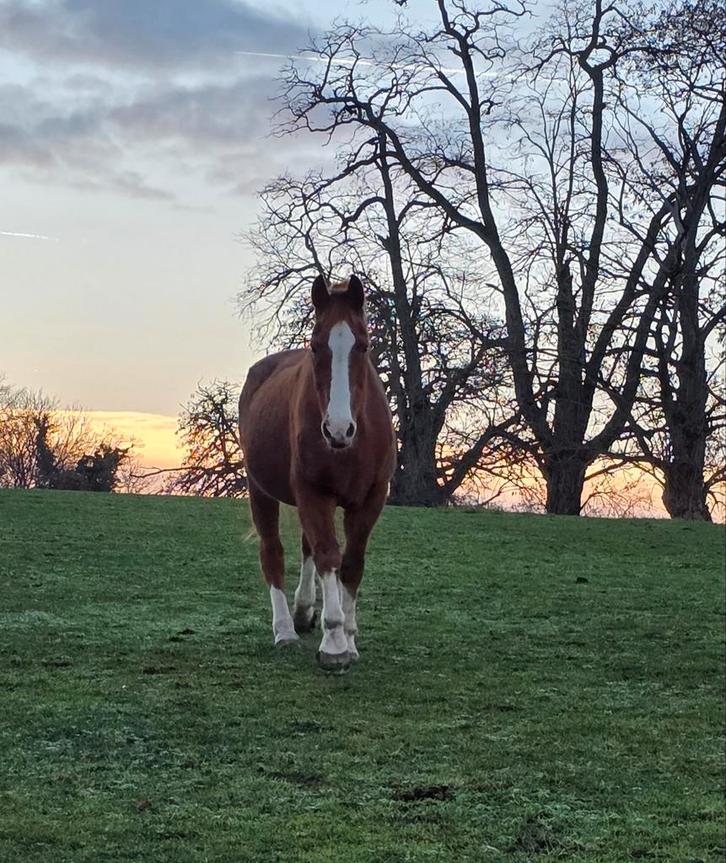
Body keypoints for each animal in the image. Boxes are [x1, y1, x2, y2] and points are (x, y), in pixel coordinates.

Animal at [238, 274, 396, 671]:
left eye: (364, 346)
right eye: (314, 345)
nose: (338, 429)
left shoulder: (371, 498)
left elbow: (351, 563)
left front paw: (350, 638)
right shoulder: (314, 492)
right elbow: (328, 555)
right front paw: (335, 642)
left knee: (305, 546)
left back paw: (303, 611)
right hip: (260, 491)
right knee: (273, 553)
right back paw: (284, 629)